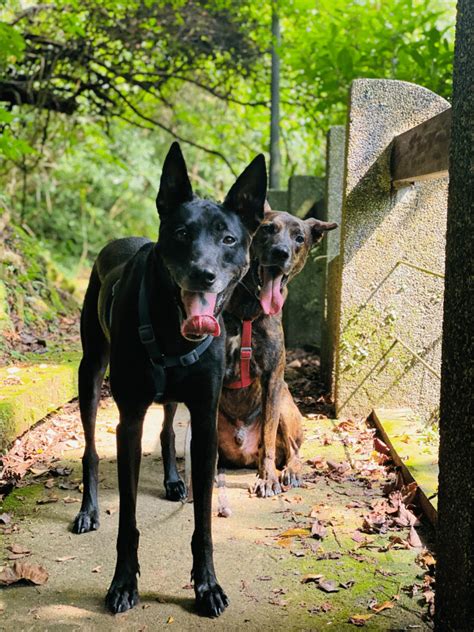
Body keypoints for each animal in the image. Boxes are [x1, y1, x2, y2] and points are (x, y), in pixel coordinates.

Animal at [74, 143, 266, 616]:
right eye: (180, 233)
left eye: (228, 239)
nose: (203, 273)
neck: (173, 332)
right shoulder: (129, 420)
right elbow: (127, 521)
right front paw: (123, 583)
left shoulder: (204, 418)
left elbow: (204, 524)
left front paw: (207, 585)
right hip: (90, 372)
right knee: (90, 450)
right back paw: (88, 510)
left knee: (166, 431)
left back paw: (174, 480)